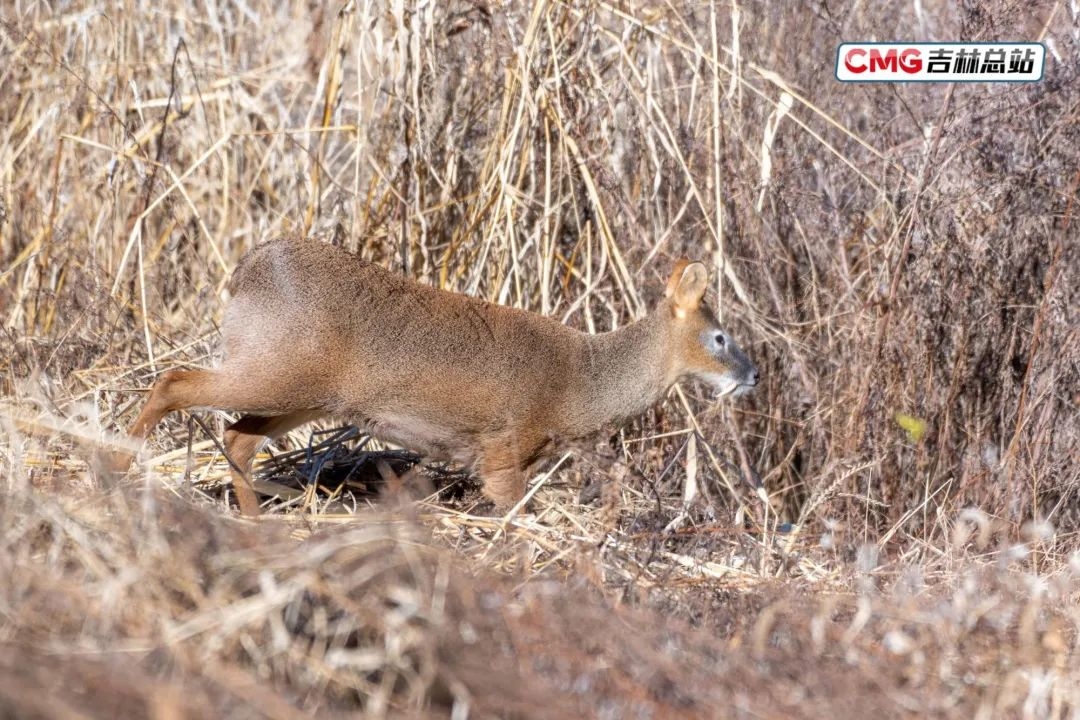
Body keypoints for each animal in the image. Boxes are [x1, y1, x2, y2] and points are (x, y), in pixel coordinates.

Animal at [116, 240, 760, 518]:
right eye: (720, 337)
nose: (753, 374)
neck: (582, 383)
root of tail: (247, 270)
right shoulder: (503, 450)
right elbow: (517, 515)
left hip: (304, 393)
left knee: (236, 437)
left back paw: (251, 518)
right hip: (274, 373)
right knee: (173, 382)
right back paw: (118, 464)